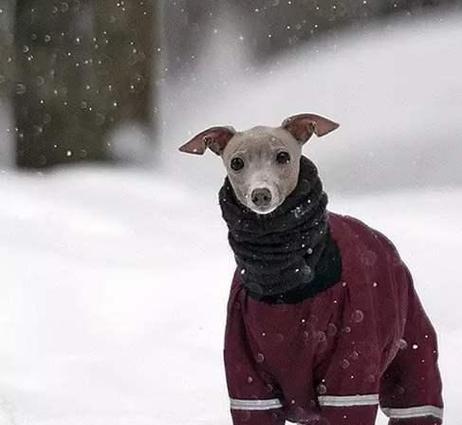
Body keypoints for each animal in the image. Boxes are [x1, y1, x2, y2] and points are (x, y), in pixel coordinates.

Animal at [179, 113, 442, 424]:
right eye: (237, 163)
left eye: (283, 156)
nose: (261, 195)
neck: (283, 283)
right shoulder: (248, 379)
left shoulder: (350, 370)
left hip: (412, 353)